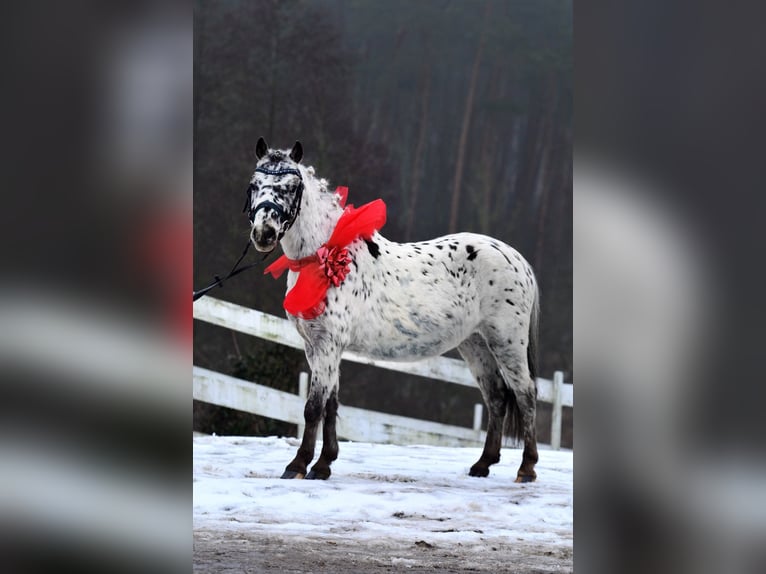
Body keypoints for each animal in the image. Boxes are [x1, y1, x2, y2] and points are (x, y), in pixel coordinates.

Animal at [246, 137, 540, 483]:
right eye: (254, 184)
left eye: (292, 187)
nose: (263, 233)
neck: (326, 256)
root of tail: (517, 259)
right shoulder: (318, 347)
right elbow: (331, 404)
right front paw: (324, 464)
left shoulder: (328, 345)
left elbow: (313, 407)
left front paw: (299, 465)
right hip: (475, 343)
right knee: (496, 397)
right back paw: (483, 464)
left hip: (506, 341)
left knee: (525, 394)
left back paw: (527, 468)